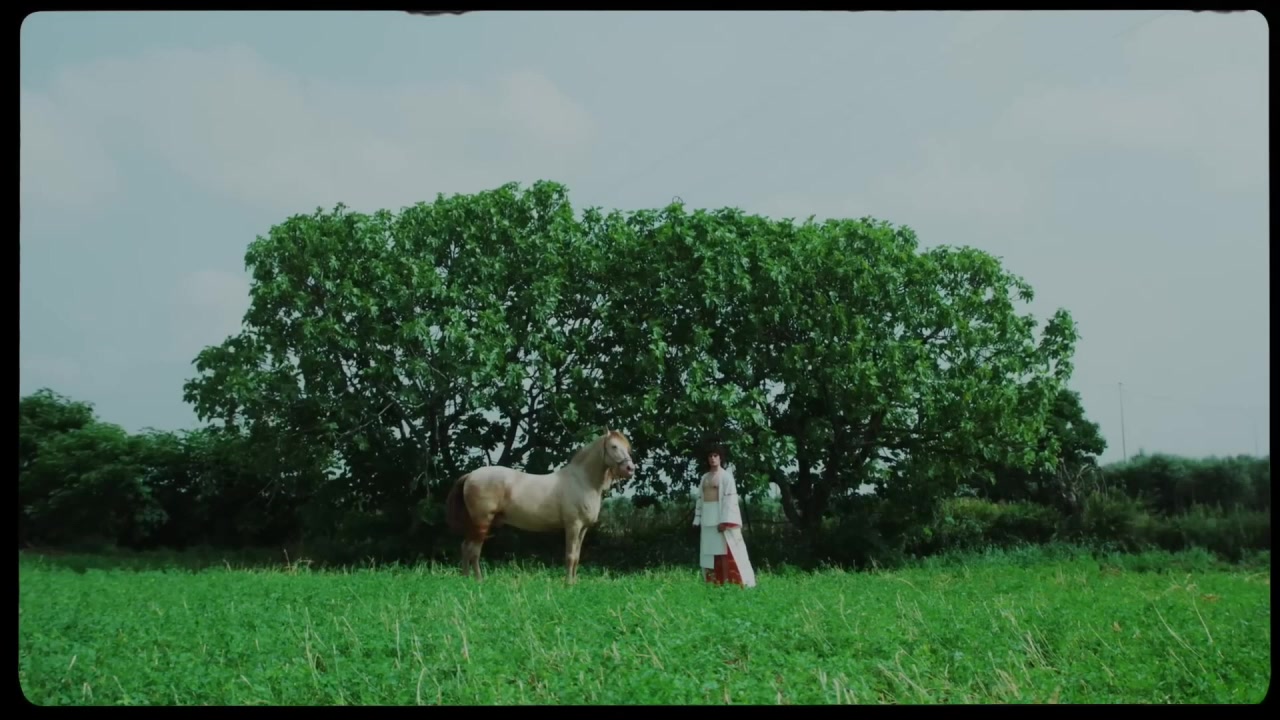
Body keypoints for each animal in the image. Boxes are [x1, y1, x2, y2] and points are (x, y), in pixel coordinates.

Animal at [444, 428, 637, 584]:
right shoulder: (572, 526)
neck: (583, 481)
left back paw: (466, 578)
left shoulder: (583, 529)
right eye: (614, 446)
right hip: (482, 522)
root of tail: (471, 475)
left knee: (465, 547)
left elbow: (577, 556)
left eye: (626, 448)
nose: (630, 469)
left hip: (475, 524)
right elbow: (570, 556)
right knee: (474, 551)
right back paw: (478, 581)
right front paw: (567, 584)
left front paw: (574, 582)